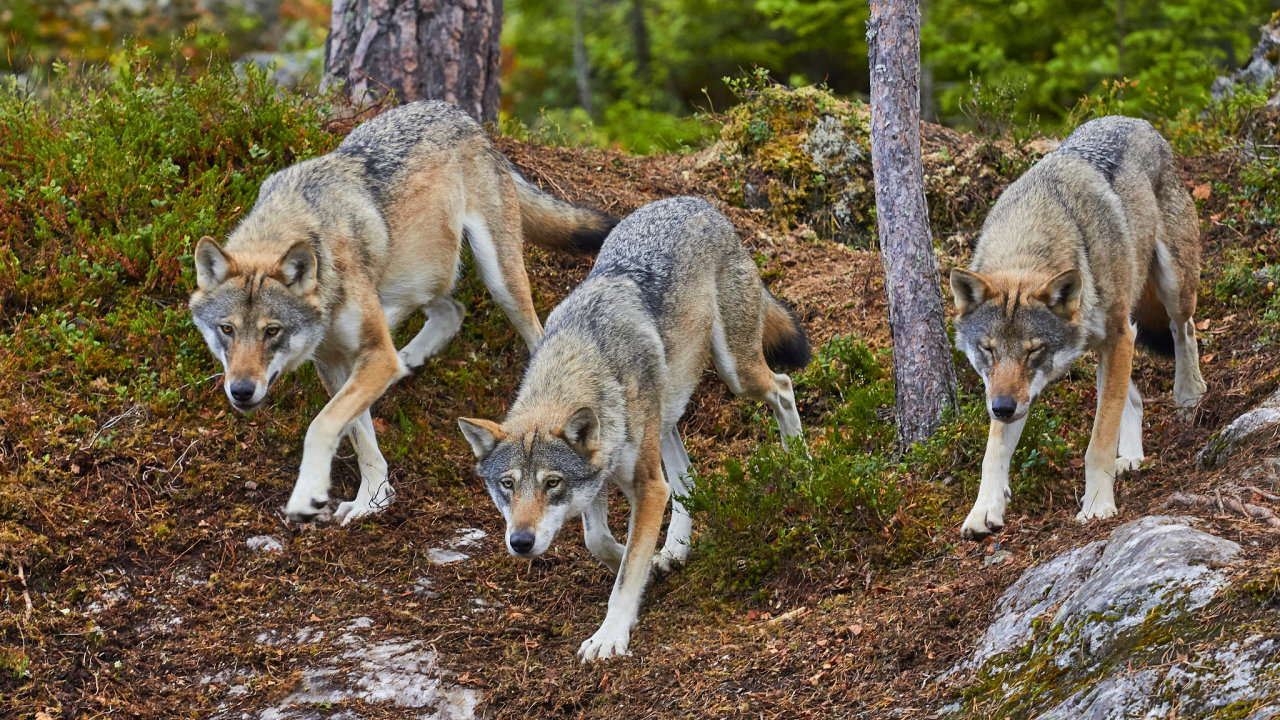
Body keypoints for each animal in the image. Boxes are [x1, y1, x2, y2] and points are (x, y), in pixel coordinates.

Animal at [952, 114, 1208, 535]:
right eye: (987, 350)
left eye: (1034, 350)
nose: (1002, 408)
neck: (1031, 241)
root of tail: (1136, 120)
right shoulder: (1014, 390)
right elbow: (994, 451)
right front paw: (984, 510)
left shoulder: (1120, 336)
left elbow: (1098, 441)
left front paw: (1097, 504)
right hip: (1104, 345)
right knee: (1133, 397)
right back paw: (1132, 457)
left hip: (1171, 289)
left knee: (1183, 330)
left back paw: (1189, 396)